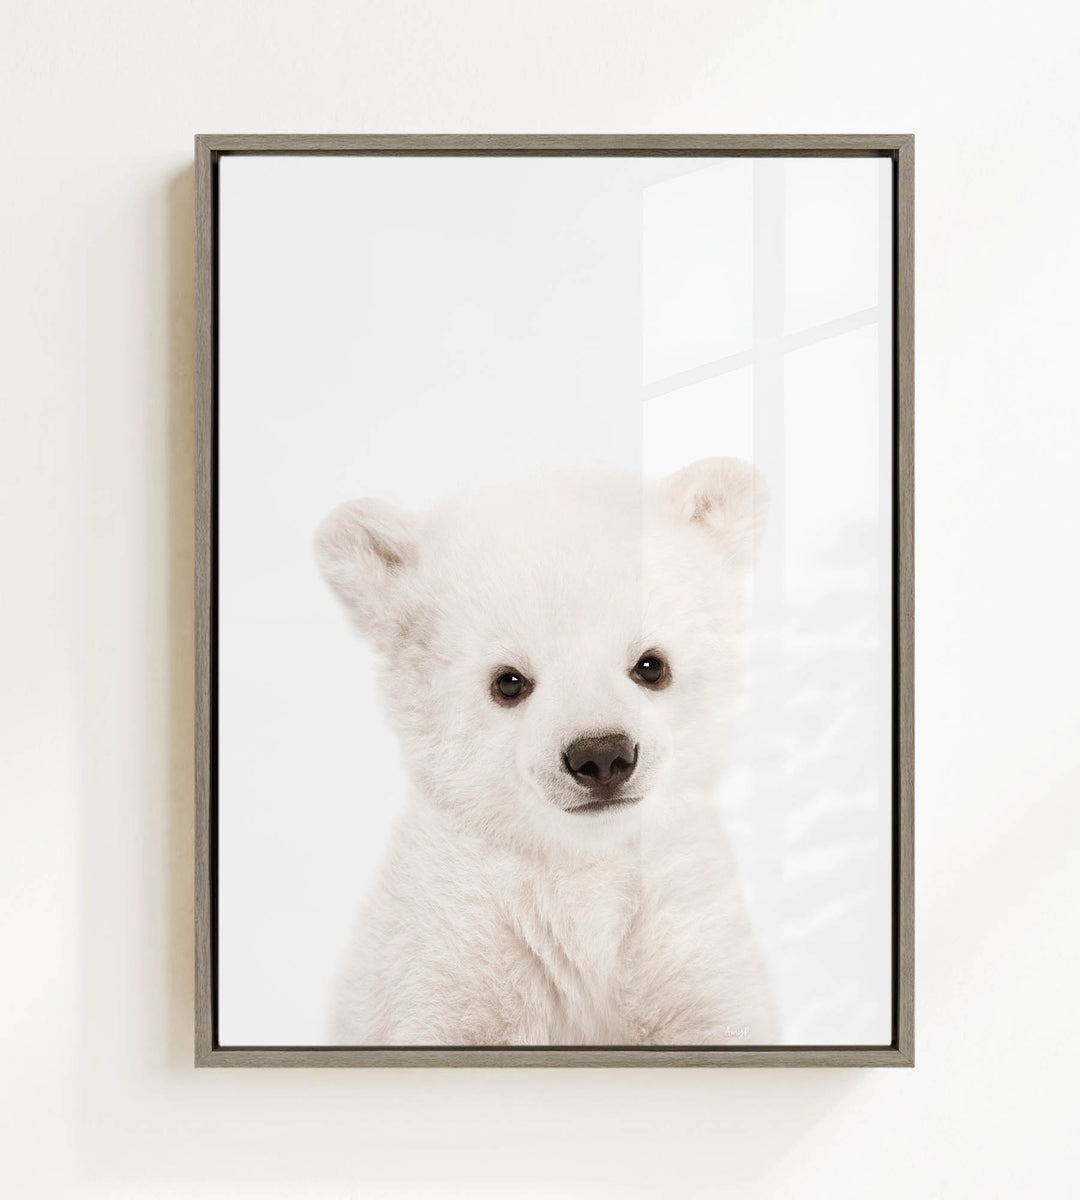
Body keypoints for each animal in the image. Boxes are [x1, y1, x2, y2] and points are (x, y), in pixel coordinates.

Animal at [315, 457, 777, 1046]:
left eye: (651, 664)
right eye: (509, 681)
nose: (601, 756)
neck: (581, 867)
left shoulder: (684, 930)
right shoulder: (449, 940)